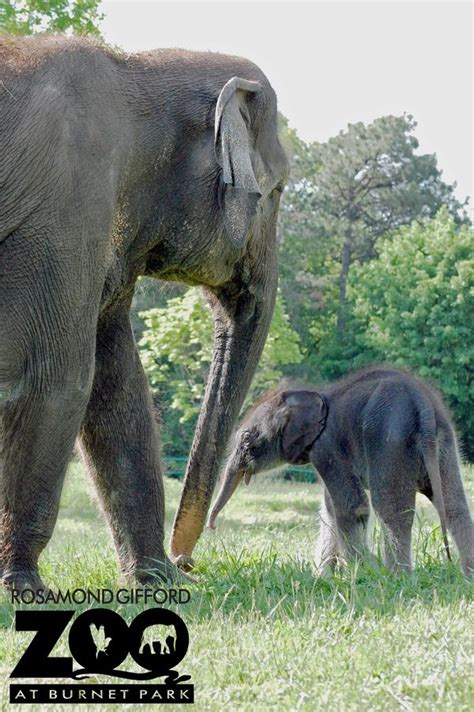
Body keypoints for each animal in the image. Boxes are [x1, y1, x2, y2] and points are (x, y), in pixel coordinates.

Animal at [0, 34, 288, 588]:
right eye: (279, 190)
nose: (189, 561)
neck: (135, 71)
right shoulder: (65, 207)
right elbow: (54, 377)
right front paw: (24, 586)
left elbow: (118, 388)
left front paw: (156, 581)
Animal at [208, 368, 474, 572]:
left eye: (246, 439)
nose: (212, 527)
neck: (311, 394)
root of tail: (422, 404)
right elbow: (329, 508)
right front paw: (323, 576)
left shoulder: (326, 446)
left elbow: (351, 507)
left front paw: (365, 571)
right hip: (445, 444)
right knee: (453, 506)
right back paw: (467, 576)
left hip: (390, 442)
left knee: (392, 510)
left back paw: (397, 577)